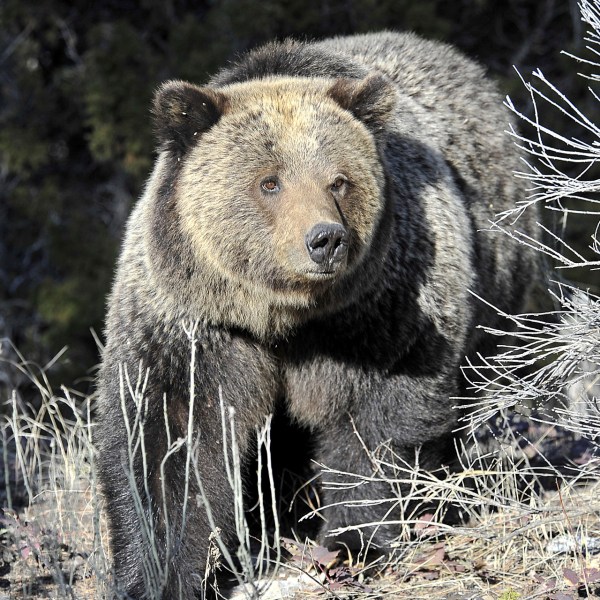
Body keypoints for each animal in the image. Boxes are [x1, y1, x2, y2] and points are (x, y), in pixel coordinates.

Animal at [97, 31, 540, 600]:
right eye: (269, 182)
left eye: (339, 181)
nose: (325, 239)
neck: (283, 318)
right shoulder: (197, 325)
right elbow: (171, 440)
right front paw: (156, 573)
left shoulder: (381, 313)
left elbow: (376, 423)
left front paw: (354, 542)